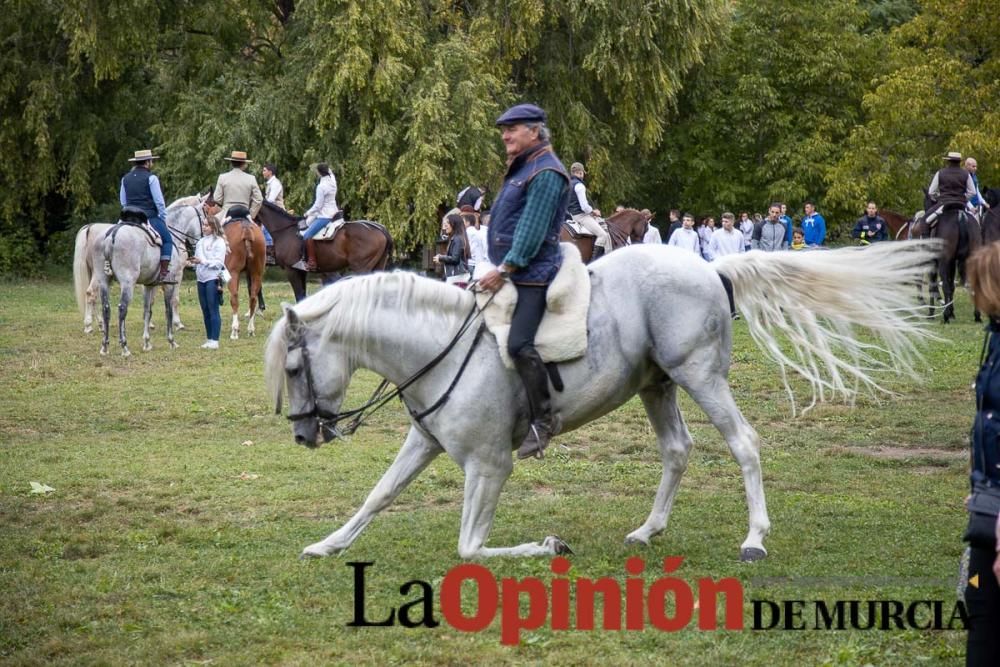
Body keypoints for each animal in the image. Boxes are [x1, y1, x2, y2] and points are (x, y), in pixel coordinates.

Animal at [74, 196, 209, 336]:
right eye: (204, 216)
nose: (203, 238)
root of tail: (91, 228)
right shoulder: (176, 274)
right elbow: (173, 299)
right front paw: (177, 323)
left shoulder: (152, 278)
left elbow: (151, 300)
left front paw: (149, 322)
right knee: (91, 293)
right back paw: (89, 325)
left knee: (94, 296)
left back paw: (99, 324)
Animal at [256, 200, 392, 302]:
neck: (285, 230)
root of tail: (380, 229)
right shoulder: (301, 271)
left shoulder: (291, 270)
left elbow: (299, 296)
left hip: (362, 268)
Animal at [264, 243, 936, 560]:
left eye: (294, 367)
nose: (301, 435)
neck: (441, 347)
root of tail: (709, 267)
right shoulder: (425, 441)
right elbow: (378, 495)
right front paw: (328, 544)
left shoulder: (489, 465)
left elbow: (469, 547)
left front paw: (547, 546)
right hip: (657, 385)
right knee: (677, 450)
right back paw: (648, 529)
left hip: (700, 376)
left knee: (743, 444)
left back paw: (754, 539)